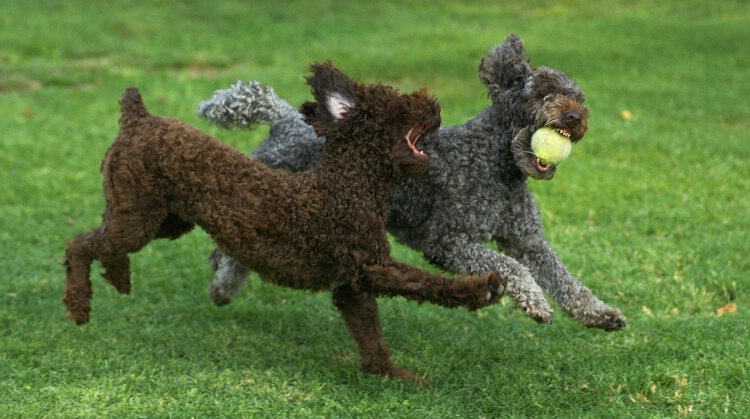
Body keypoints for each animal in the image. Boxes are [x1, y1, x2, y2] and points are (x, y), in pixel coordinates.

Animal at [197, 34, 624, 332]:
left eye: (576, 97)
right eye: (542, 94)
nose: (575, 118)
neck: (496, 166)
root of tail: (285, 119)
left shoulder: (528, 240)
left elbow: (564, 278)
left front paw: (600, 313)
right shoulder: (448, 242)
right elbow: (512, 268)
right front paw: (535, 303)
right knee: (234, 247)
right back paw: (221, 284)